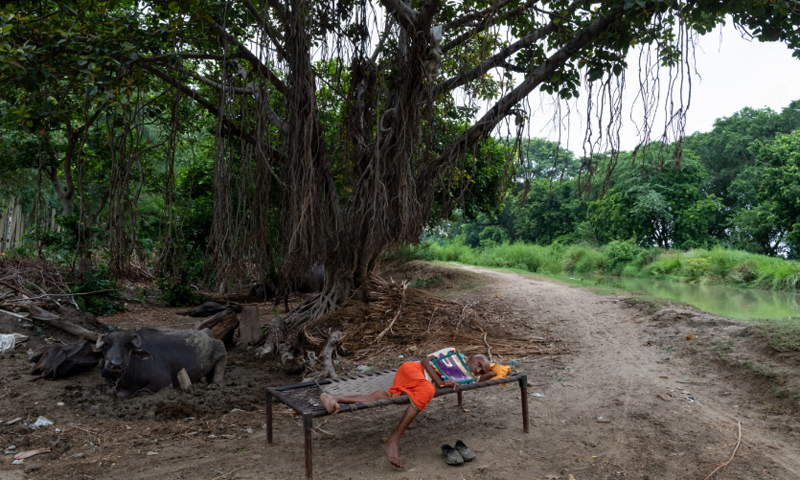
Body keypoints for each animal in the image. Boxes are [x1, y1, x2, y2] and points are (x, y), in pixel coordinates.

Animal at [99, 326, 228, 398]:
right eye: (105, 345)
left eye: (128, 345)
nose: (116, 364)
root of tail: (207, 332)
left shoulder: (163, 382)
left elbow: (140, 392)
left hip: (221, 350)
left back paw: (214, 384)